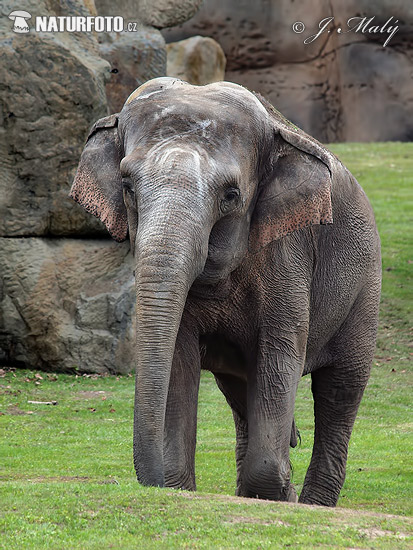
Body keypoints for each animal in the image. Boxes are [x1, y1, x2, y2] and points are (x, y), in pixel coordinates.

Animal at [70, 77, 380, 508]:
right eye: (128, 186)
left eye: (231, 196)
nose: (149, 483)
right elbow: (179, 358)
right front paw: (180, 485)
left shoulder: (288, 253)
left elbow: (279, 356)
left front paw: (278, 494)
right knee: (241, 391)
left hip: (365, 287)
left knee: (341, 388)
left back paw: (312, 503)